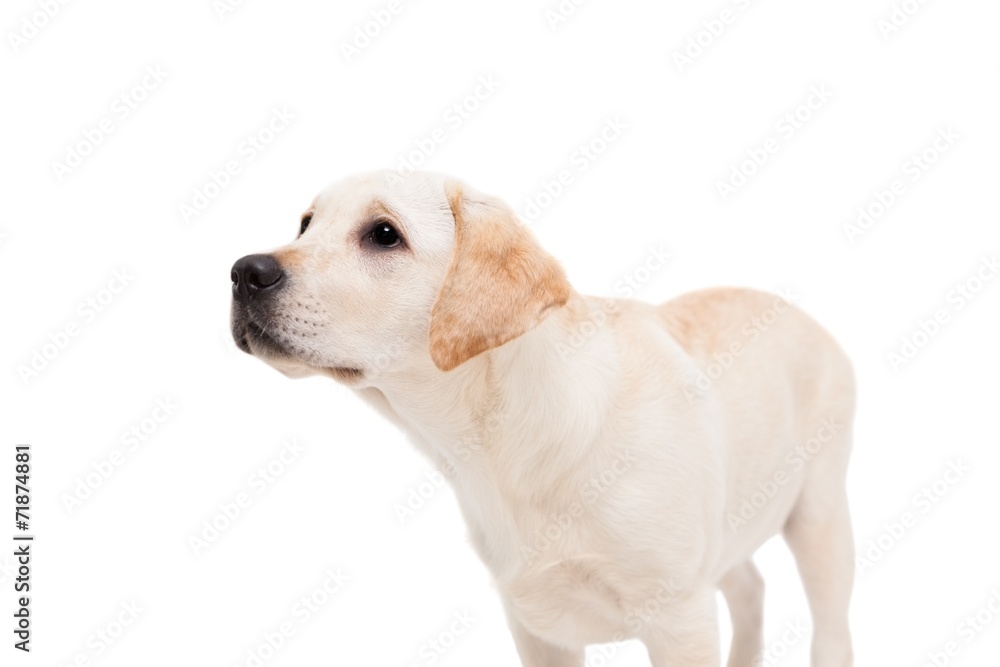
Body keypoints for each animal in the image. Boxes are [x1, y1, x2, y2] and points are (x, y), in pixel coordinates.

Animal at [230, 171, 856, 667]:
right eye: (305, 223)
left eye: (384, 234)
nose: (243, 272)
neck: (501, 438)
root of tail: (799, 310)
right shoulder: (535, 625)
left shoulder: (680, 616)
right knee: (750, 586)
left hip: (820, 517)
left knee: (830, 628)